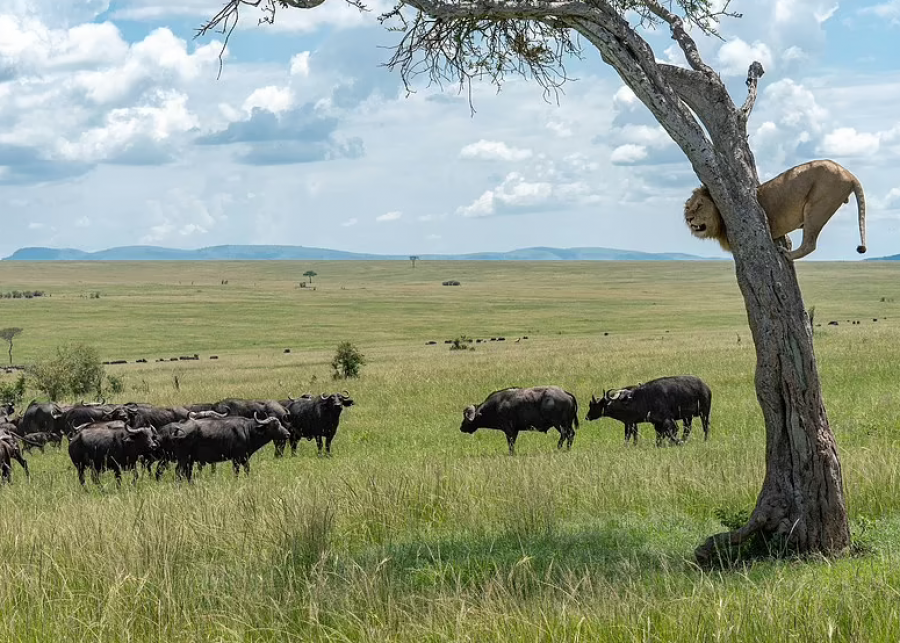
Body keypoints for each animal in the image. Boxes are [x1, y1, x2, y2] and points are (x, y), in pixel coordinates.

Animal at [684, 159, 868, 262]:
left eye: (699, 205)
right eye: (687, 208)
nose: (688, 219)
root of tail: (850, 174)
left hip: (817, 206)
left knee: (810, 244)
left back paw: (787, 255)